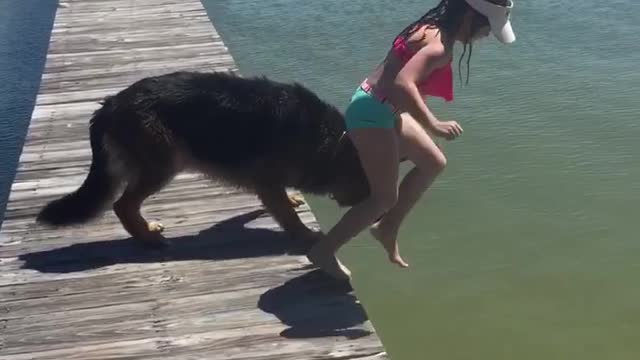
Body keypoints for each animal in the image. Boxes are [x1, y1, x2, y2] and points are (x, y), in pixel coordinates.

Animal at [37, 70, 372, 250]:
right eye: (365, 178)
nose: (371, 207)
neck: (325, 139)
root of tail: (110, 105)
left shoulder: (270, 184)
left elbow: (282, 203)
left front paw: (291, 200)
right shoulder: (267, 183)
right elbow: (288, 218)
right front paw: (306, 235)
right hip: (164, 164)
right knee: (123, 205)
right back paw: (147, 238)